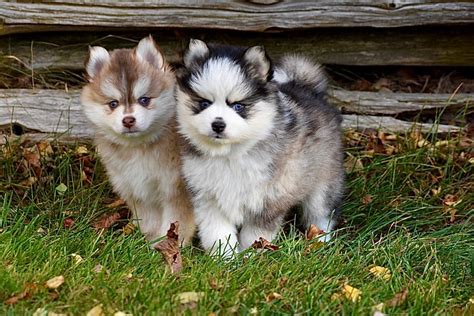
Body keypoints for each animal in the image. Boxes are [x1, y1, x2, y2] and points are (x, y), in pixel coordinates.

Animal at [81, 36, 194, 244]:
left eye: (144, 100)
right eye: (113, 103)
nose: (128, 120)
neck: (139, 147)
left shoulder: (177, 190)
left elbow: (175, 224)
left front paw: (170, 245)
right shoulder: (138, 191)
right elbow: (149, 222)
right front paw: (149, 243)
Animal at [176, 40, 342, 256]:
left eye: (238, 106)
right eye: (204, 103)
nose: (218, 125)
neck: (230, 154)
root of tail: (306, 88)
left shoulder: (269, 200)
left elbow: (255, 234)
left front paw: (250, 256)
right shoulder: (208, 198)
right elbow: (218, 232)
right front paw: (225, 258)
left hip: (323, 183)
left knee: (321, 213)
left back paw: (320, 240)